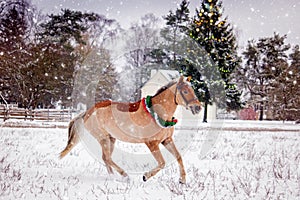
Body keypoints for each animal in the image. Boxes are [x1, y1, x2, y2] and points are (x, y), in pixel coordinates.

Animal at [59, 76, 200, 184]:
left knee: (106, 158)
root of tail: (87, 112)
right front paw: (145, 176)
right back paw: (124, 176)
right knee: (107, 158)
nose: (198, 107)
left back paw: (113, 177)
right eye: (185, 91)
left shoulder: (167, 140)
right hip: (102, 137)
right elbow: (162, 163)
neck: (157, 113)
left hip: (111, 138)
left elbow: (179, 157)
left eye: (192, 90)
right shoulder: (152, 143)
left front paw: (182, 180)